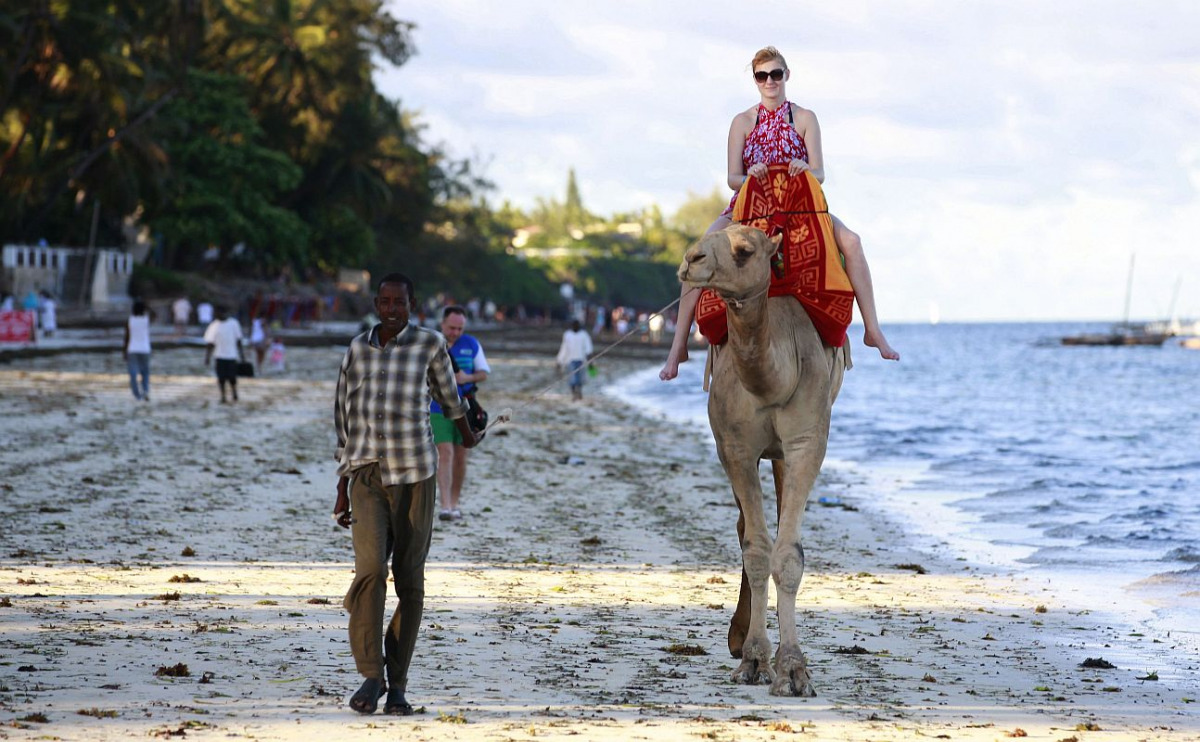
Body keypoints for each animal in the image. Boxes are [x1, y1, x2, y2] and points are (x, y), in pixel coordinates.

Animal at [681, 220, 849, 691]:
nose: (690, 260)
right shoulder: (734, 446)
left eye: (743, 250)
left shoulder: (807, 440)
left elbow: (788, 554)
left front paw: (793, 667)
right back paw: (739, 638)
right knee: (745, 528)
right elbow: (756, 550)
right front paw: (755, 659)